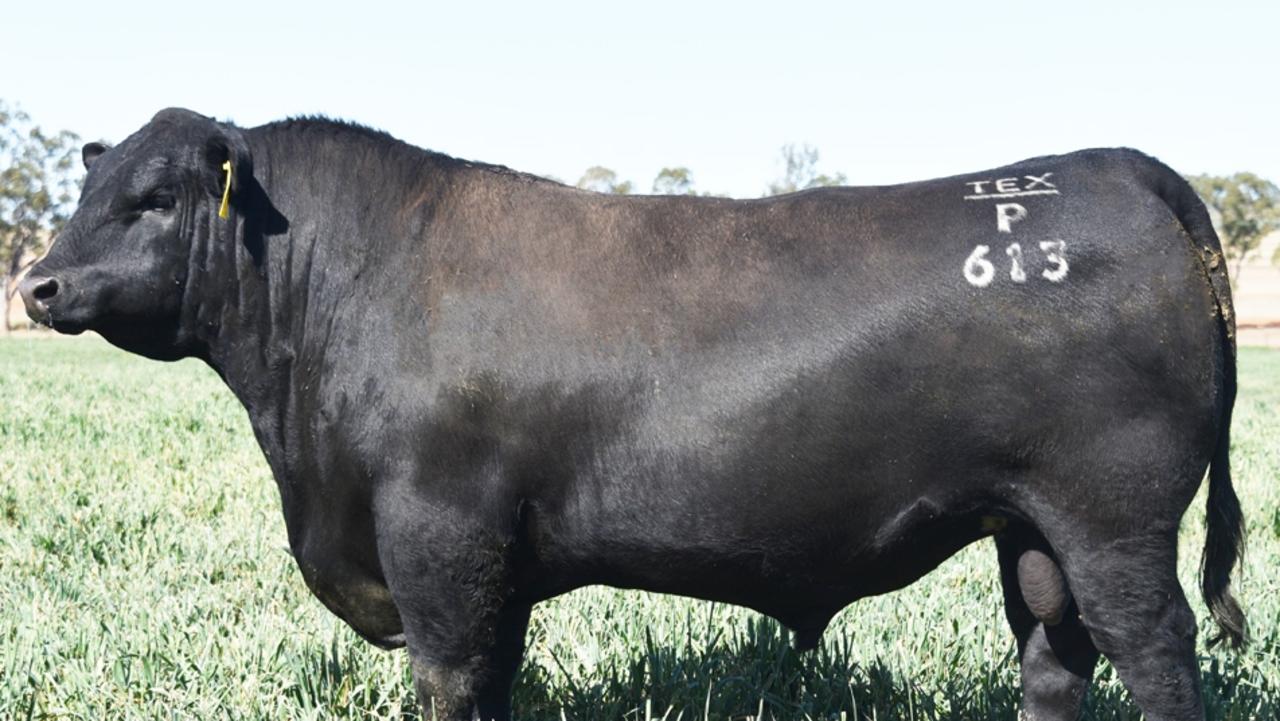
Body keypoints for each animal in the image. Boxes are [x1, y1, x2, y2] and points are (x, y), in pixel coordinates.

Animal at [17, 108, 1239, 721]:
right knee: (1053, 656)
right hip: (1029, 524)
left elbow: (452, 681)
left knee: (1153, 649)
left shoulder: (438, 536)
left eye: (154, 198)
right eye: (84, 190)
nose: (36, 284)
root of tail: (1110, 165)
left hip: (1114, 515)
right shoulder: (489, 562)